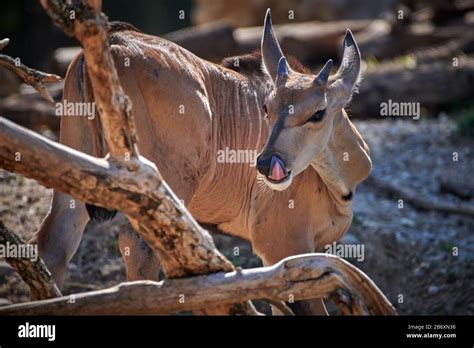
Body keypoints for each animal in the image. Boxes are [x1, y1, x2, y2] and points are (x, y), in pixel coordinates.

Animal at [31, 10, 372, 316]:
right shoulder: (286, 246)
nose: (266, 164)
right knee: (139, 251)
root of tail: (114, 42)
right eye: (267, 107)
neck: (340, 183)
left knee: (51, 246)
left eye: (318, 112)